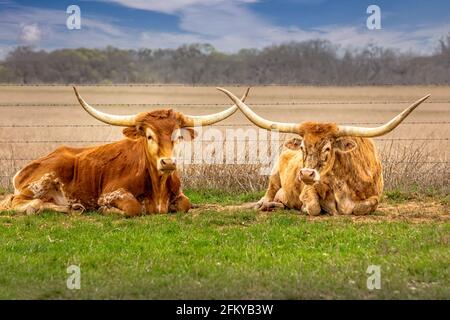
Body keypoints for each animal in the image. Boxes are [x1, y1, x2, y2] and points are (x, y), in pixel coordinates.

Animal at [0, 87, 250, 218]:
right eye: (149, 136)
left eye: (178, 137)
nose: (168, 163)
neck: (158, 188)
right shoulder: (111, 193)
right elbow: (132, 208)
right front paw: (107, 210)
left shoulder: (180, 196)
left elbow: (185, 204)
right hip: (41, 181)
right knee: (19, 202)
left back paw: (73, 207)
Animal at [220, 88, 430, 215]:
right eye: (303, 147)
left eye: (328, 148)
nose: (306, 174)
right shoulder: (308, 189)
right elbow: (313, 207)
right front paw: (305, 208)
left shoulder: (374, 197)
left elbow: (361, 208)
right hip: (273, 177)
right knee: (267, 196)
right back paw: (266, 205)